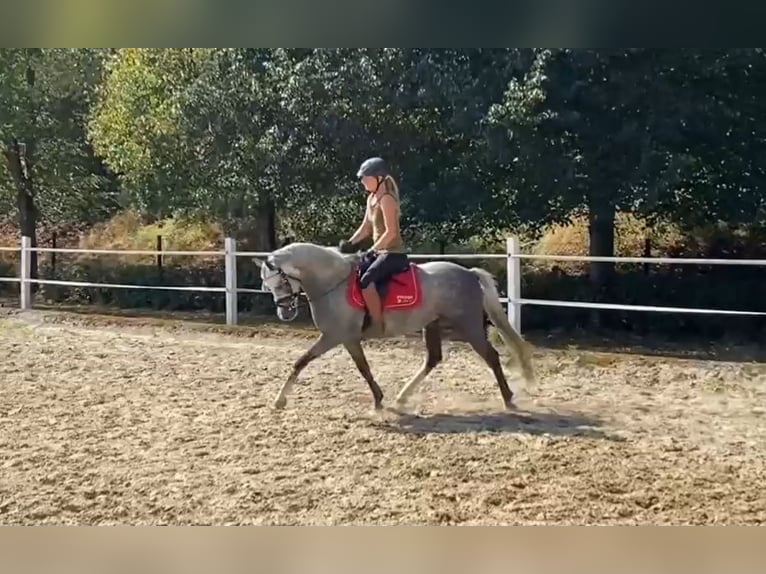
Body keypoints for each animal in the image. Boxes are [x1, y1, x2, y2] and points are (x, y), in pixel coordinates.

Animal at [252, 243, 536, 414]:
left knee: (491, 357)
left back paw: (509, 399)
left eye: (281, 282)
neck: (333, 283)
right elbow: (363, 368)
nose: (285, 313)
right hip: (432, 325)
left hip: (469, 327)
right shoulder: (347, 339)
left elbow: (301, 362)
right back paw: (402, 396)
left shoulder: (334, 336)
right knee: (433, 359)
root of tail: (469, 273)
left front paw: (280, 399)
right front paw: (379, 399)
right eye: (267, 285)